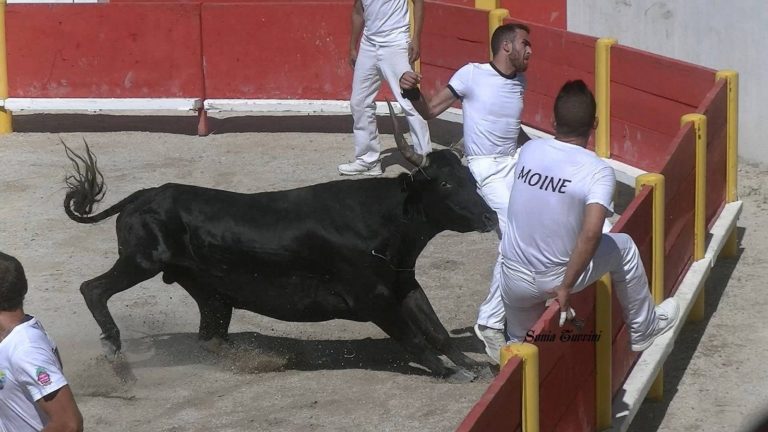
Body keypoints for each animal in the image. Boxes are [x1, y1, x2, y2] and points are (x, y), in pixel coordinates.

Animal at [64, 109, 498, 382]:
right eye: (445, 184)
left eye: (470, 178)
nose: (491, 218)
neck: (386, 218)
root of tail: (146, 194)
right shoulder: (373, 299)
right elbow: (414, 338)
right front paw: (451, 372)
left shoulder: (404, 284)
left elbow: (437, 331)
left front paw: (475, 365)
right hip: (141, 261)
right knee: (92, 289)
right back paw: (113, 351)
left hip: (209, 293)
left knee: (210, 334)